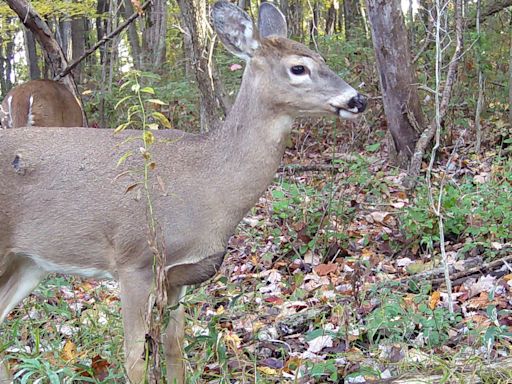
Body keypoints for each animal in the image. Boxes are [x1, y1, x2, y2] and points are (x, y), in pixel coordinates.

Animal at [1, 1, 368, 382]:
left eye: (321, 57)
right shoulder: (134, 261)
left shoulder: (178, 276)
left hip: (26, 262)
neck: (207, 183)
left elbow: (175, 348)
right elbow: (135, 356)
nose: (358, 100)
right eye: (299, 68)